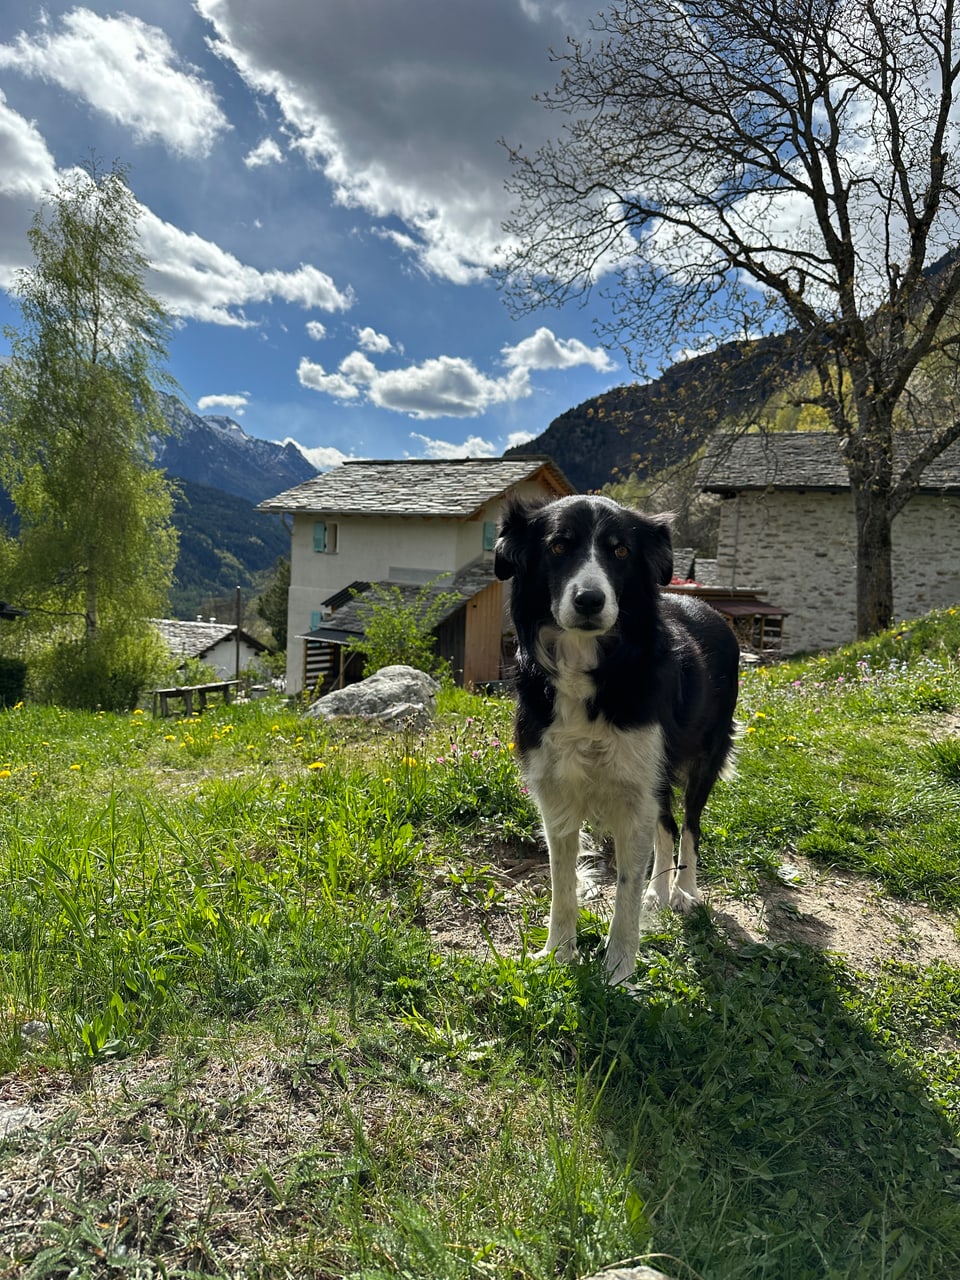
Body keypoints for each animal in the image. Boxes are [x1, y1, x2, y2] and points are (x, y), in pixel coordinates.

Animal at [499, 494, 742, 983]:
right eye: (558, 546)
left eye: (621, 551)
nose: (590, 600)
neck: (591, 666)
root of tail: (711, 610)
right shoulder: (556, 794)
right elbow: (563, 885)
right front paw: (557, 955)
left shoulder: (636, 794)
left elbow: (625, 894)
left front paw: (618, 972)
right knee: (668, 827)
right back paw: (660, 892)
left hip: (701, 760)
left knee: (690, 826)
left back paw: (684, 891)